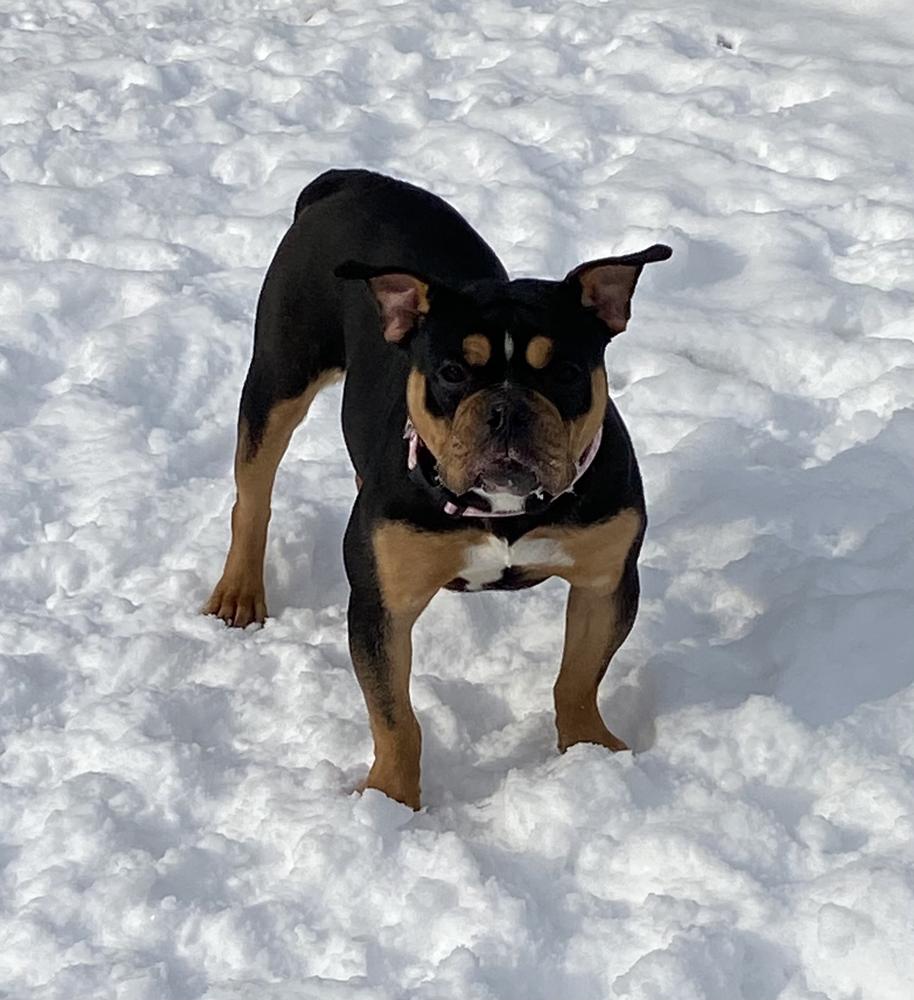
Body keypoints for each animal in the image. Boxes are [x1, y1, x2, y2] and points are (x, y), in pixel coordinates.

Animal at [207, 168, 672, 808]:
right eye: (453, 373)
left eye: (565, 372)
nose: (507, 408)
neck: (505, 510)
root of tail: (349, 181)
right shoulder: (380, 607)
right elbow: (396, 717)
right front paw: (391, 801)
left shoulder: (606, 582)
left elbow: (579, 674)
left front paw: (589, 750)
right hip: (279, 376)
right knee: (253, 496)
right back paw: (239, 592)